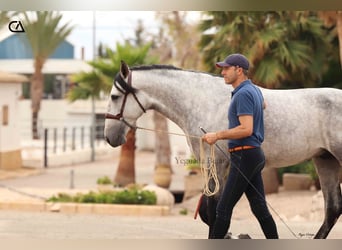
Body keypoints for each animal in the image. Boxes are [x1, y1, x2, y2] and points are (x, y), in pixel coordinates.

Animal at [104, 60, 342, 238]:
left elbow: (214, 211)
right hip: (325, 160)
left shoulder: (217, 164)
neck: (202, 101)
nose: (109, 137)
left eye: (114, 97)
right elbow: (211, 212)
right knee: (332, 209)